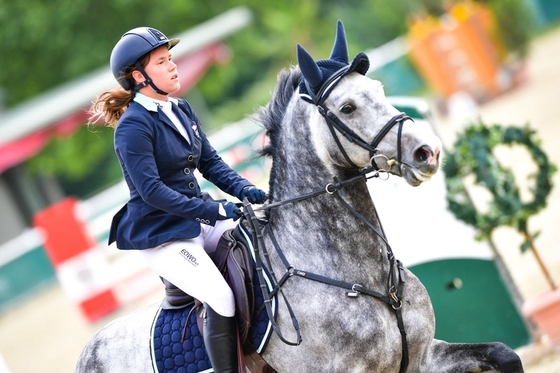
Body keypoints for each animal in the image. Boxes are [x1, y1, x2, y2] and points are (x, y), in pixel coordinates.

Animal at [75, 21, 524, 372]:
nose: (427, 152)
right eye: (347, 107)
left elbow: (504, 354)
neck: (356, 276)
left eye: (379, 89)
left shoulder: (423, 356)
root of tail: (89, 349)